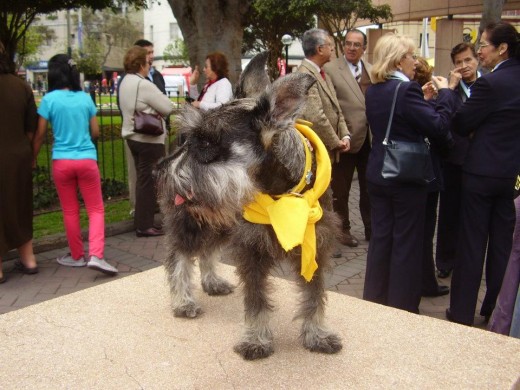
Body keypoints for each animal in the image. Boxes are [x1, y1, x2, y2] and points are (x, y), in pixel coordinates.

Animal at [157, 53, 346, 362]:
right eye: (189, 139)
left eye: (206, 142)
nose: (160, 172)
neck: (281, 196)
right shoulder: (252, 250)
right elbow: (256, 300)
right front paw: (256, 339)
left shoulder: (315, 244)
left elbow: (314, 293)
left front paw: (317, 335)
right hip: (194, 223)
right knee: (179, 257)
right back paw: (183, 301)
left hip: (220, 223)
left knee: (207, 252)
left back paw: (212, 282)